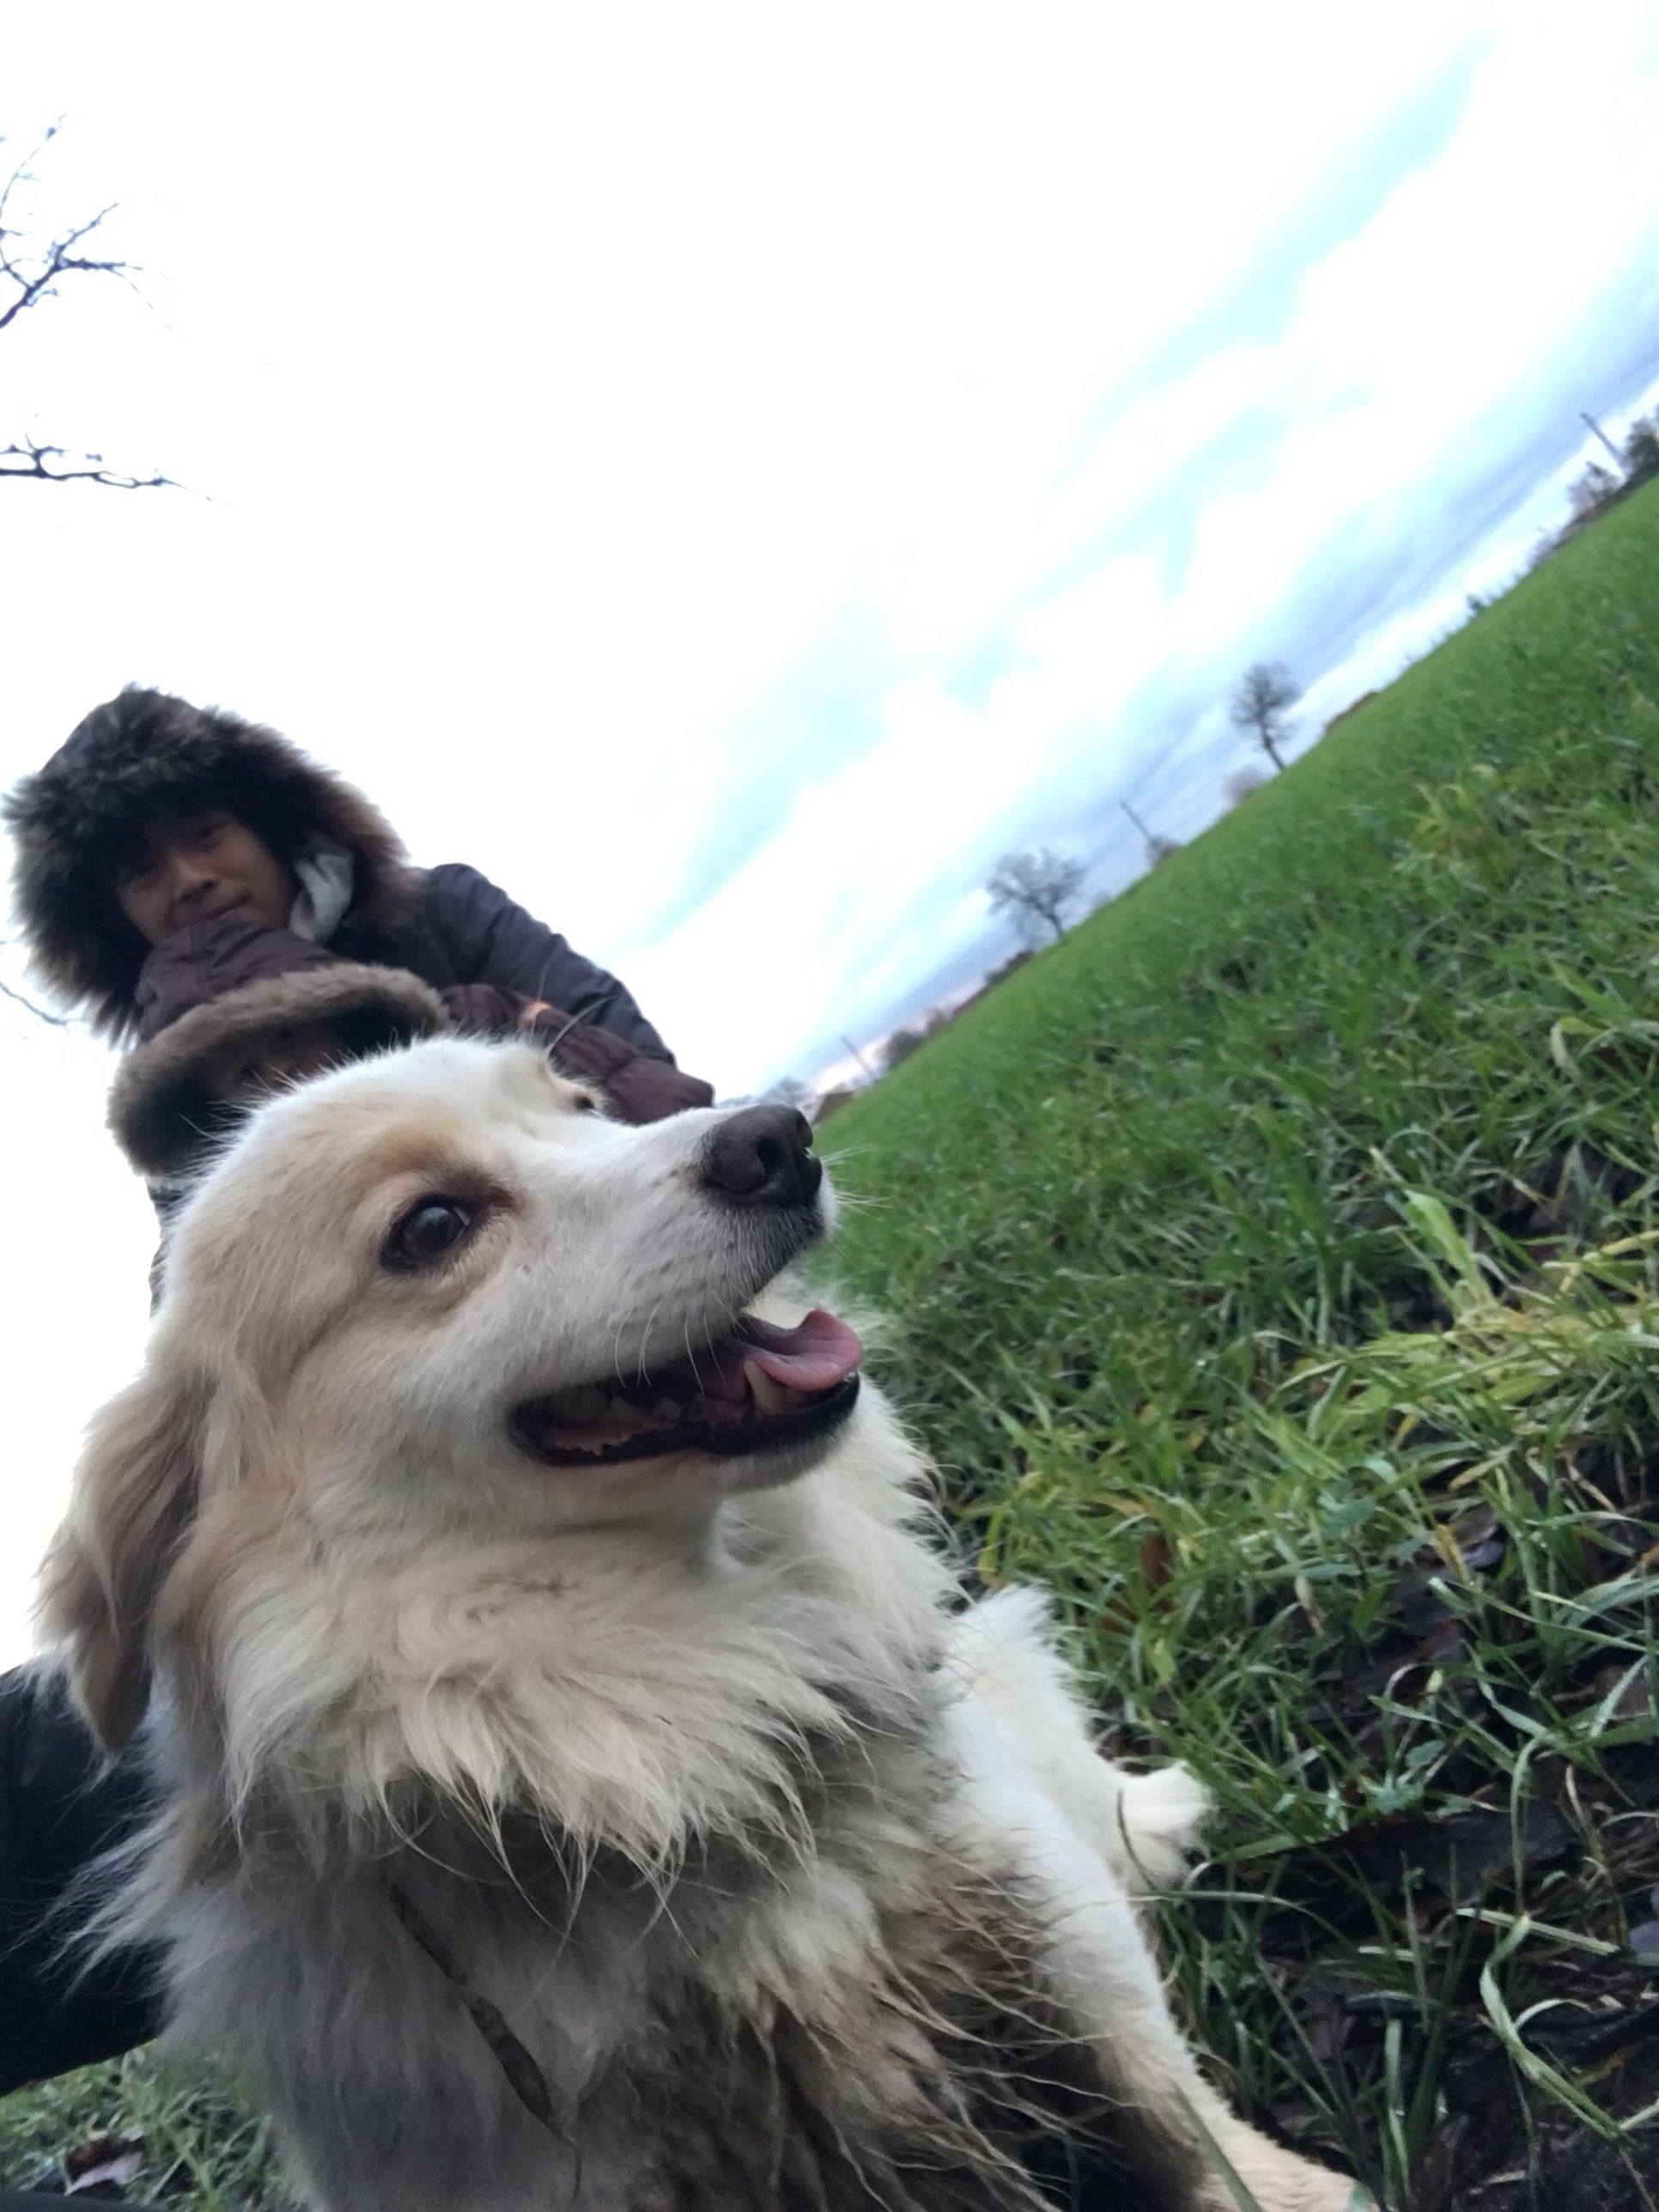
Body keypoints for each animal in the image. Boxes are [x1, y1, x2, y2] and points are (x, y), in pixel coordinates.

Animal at [45, 1039, 1353, 2212]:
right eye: (431, 1227)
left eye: (580, 1107)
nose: (779, 1137)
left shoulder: (1036, 1900)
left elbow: (1182, 2114)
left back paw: (1154, 1819)